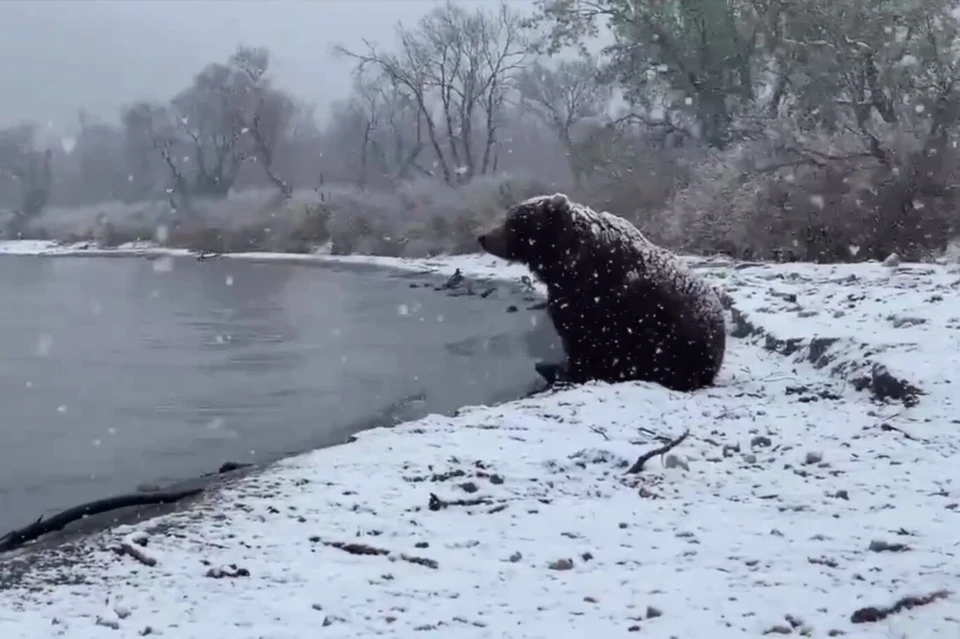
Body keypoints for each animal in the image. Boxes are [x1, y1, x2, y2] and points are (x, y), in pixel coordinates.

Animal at [480, 192, 728, 392]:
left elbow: (583, 337)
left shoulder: (595, 297)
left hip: (674, 341)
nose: (483, 237)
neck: (564, 259)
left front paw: (568, 371)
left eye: (513, 221)